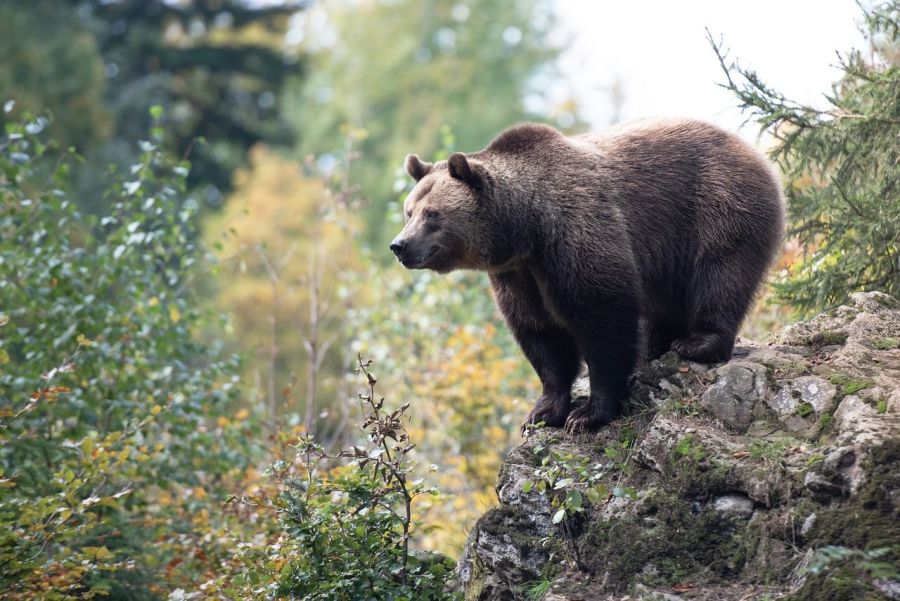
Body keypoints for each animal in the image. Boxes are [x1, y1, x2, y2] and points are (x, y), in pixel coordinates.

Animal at [390, 118, 784, 432]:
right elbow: (540, 334)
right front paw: (542, 412)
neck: (527, 229)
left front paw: (588, 414)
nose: (399, 245)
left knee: (720, 274)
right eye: (409, 211)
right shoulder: (518, 274)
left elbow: (602, 317)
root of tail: (752, 148)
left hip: (717, 204)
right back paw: (654, 348)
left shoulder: (577, 232)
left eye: (433, 214)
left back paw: (698, 342)